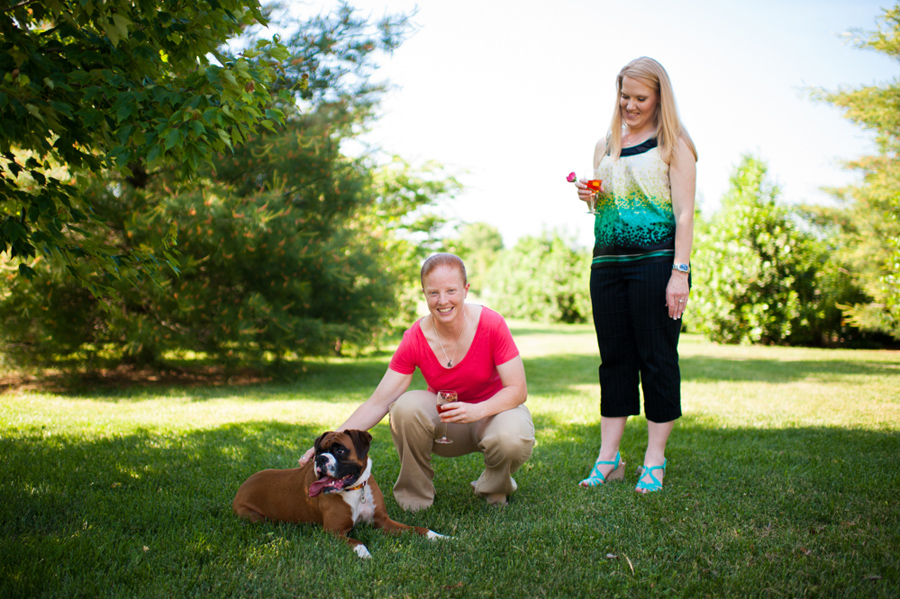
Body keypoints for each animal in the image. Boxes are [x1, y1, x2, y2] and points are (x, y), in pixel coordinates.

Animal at [230, 428, 444, 560]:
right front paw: (365, 555)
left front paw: (440, 537)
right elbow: (358, 542)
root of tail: (243, 484)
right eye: (318, 452)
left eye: (340, 450)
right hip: (254, 517)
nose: (320, 459)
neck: (356, 490)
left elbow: (417, 529)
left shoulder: (383, 521)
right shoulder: (334, 531)